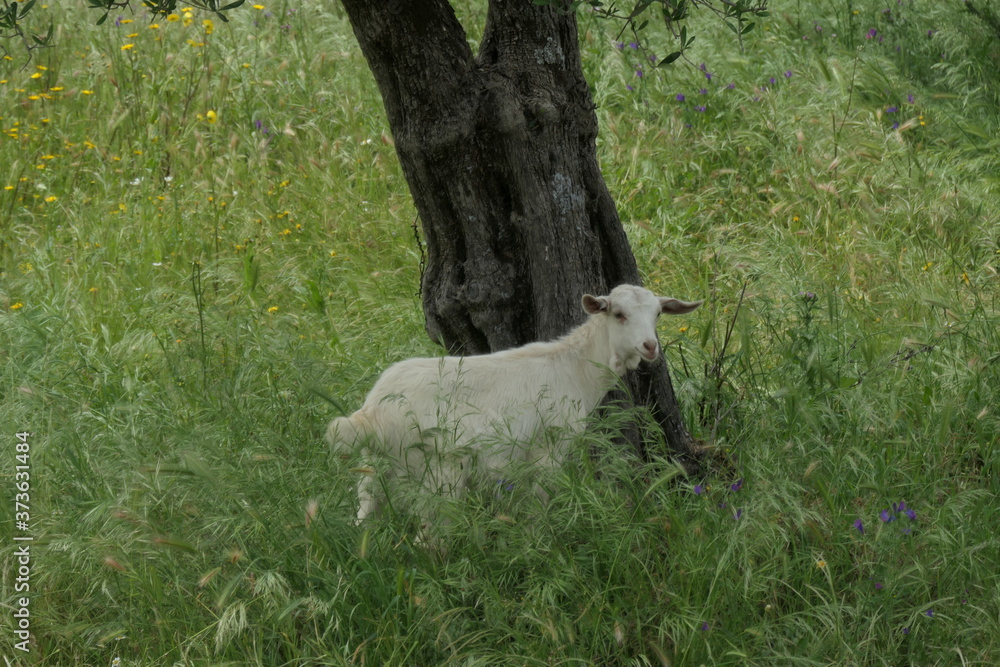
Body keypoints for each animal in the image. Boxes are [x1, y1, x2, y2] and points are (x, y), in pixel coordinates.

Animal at [327, 284, 701, 526]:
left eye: (658, 314)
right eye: (619, 314)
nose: (650, 346)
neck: (575, 367)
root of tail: (371, 414)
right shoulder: (549, 448)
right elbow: (540, 500)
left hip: (375, 472)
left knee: (364, 520)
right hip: (436, 473)